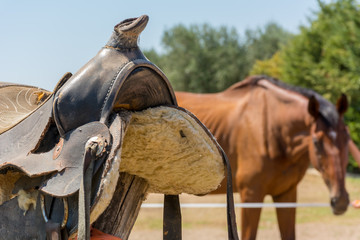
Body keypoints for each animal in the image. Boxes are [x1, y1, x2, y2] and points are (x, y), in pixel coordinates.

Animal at [176, 75, 356, 240]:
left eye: (347, 137)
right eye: (317, 142)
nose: (340, 201)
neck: (271, 128)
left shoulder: (286, 194)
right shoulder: (251, 195)